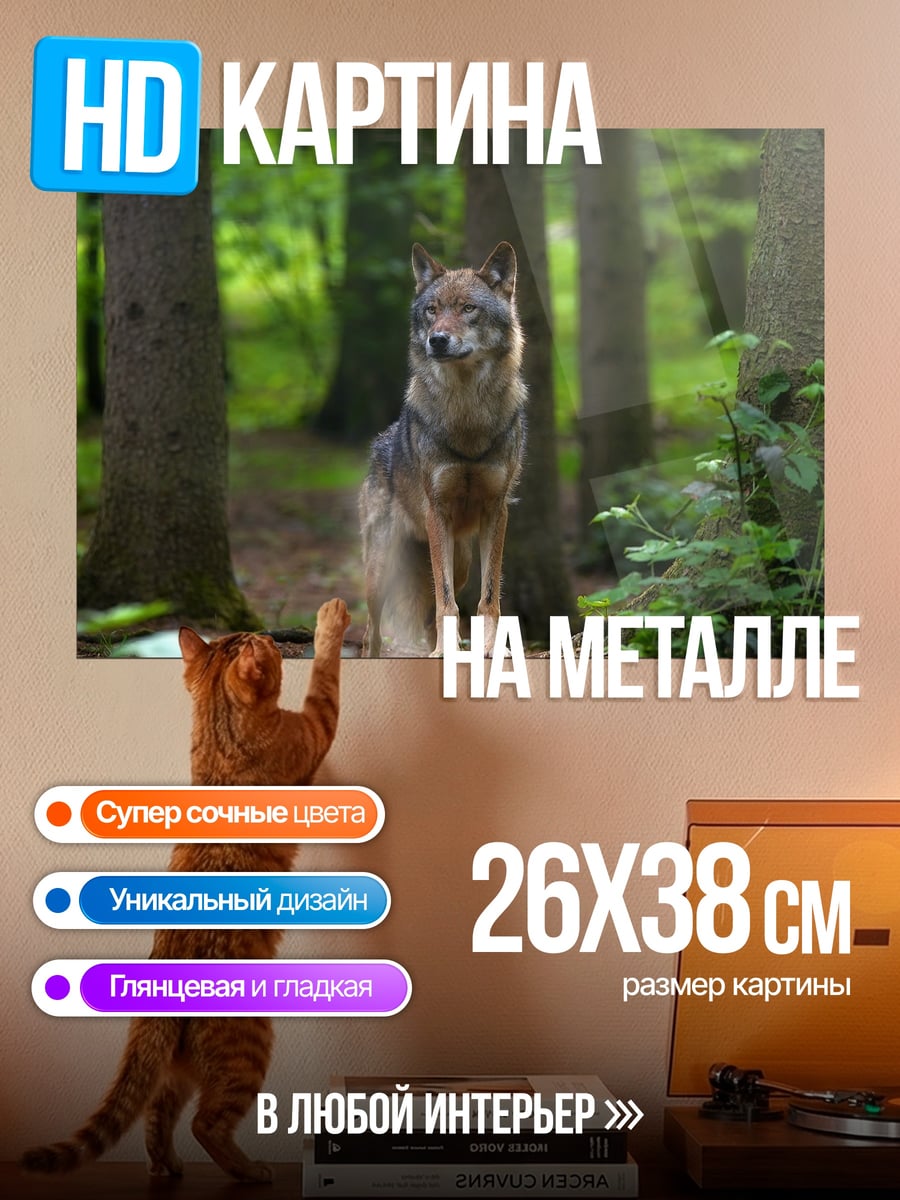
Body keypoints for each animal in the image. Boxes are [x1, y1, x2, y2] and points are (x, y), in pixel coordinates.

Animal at [359, 241, 527, 657]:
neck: (466, 416)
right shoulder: (437, 512)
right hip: (380, 570)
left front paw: (488, 649)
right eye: (432, 310)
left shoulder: (496, 511)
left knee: (426, 613)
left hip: (462, 558)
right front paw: (443, 654)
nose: (436, 339)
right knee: (371, 630)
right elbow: (446, 600)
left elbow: (488, 598)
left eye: (468, 308)